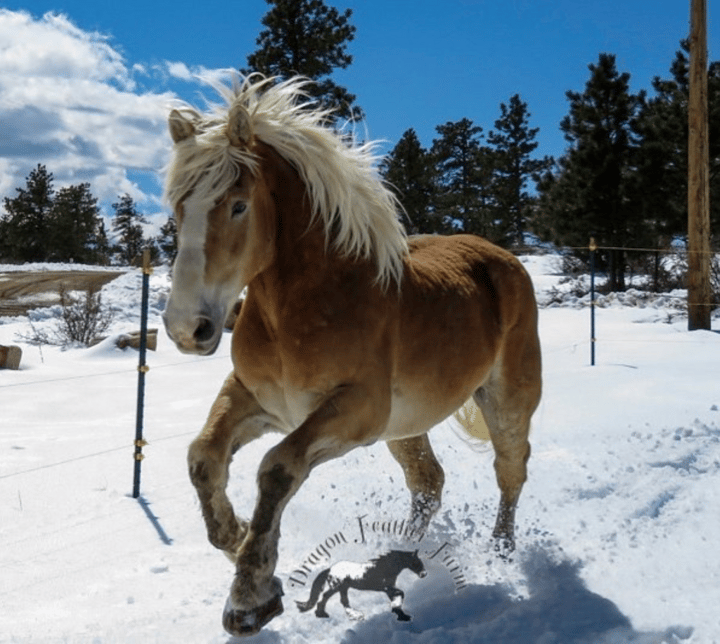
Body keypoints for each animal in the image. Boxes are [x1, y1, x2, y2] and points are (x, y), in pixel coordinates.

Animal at [294, 552, 424, 620]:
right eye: (416, 563)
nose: (424, 574)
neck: (385, 567)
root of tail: (330, 569)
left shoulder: (389, 589)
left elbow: (397, 596)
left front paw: (402, 615)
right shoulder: (386, 588)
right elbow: (401, 593)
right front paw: (399, 613)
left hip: (343, 588)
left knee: (344, 601)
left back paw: (354, 615)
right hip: (336, 587)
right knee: (325, 597)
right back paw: (322, 614)